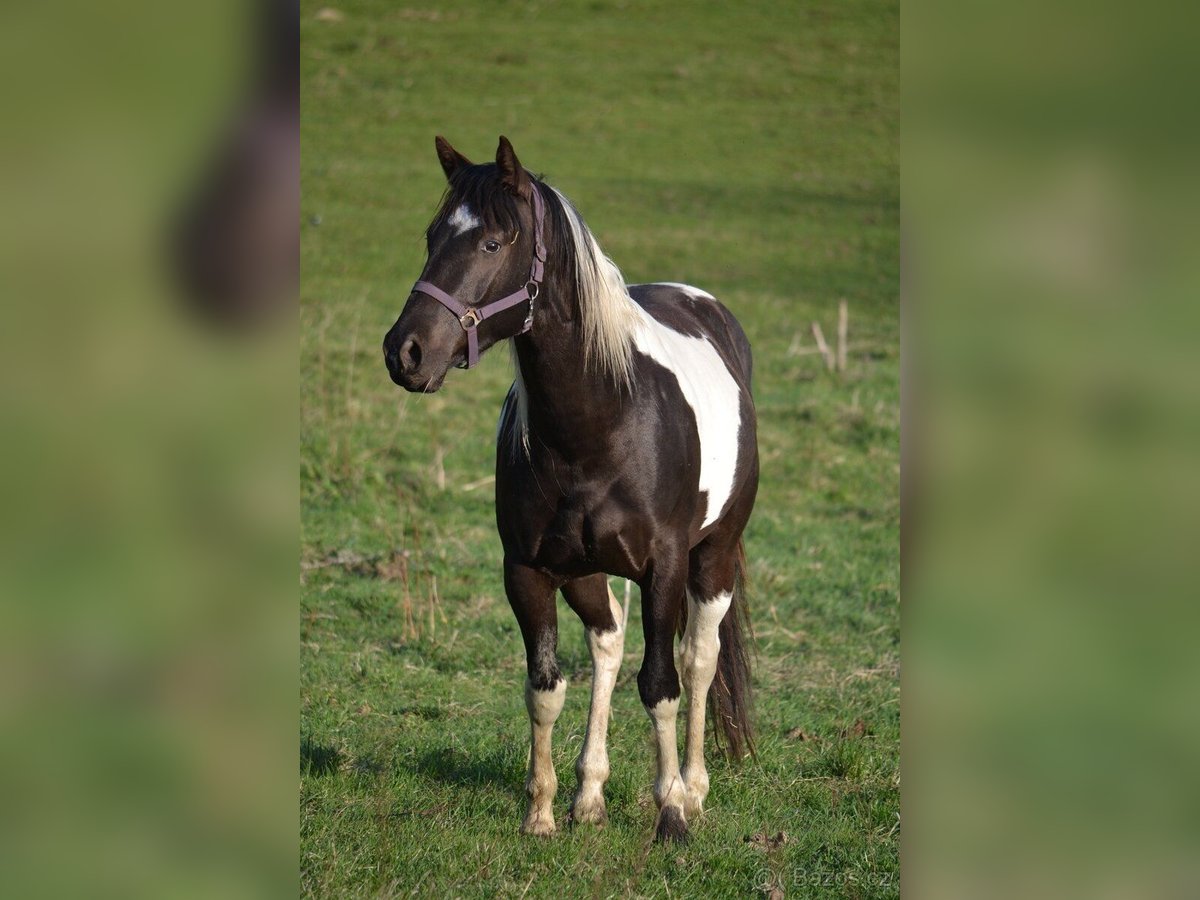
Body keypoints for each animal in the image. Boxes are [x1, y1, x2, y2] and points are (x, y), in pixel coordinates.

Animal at [382, 136, 759, 843]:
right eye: (430, 236)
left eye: (493, 242)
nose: (405, 352)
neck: (600, 423)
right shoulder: (527, 571)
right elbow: (545, 687)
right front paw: (542, 810)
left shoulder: (664, 568)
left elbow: (661, 685)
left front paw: (670, 813)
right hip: (586, 571)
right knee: (607, 642)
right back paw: (590, 794)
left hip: (715, 555)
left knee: (700, 657)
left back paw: (694, 788)